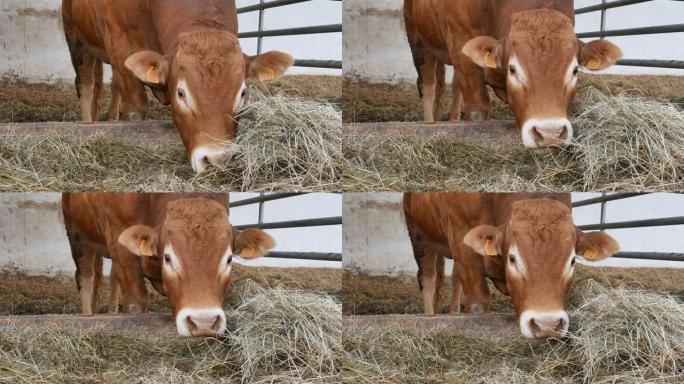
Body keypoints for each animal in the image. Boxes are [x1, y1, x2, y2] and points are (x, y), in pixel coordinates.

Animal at [404, 194, 624, 338]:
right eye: (512, 258)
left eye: (572, 260)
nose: (547, 325)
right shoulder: (461, 237)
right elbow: (477, 301)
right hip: (419, 236)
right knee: (428, 278)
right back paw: (429, 315)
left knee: (455, 277)